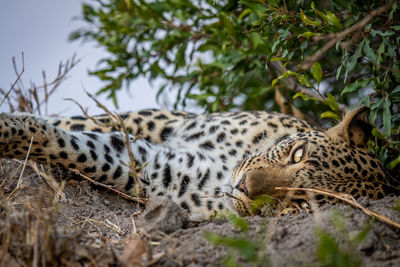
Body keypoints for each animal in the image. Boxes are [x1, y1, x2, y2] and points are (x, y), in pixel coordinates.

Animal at [0, 107, 392, 222]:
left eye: (296, 203)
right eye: (296, 154)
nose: (242, 187)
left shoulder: (161, 172)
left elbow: (79, 148)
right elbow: (76, 126)